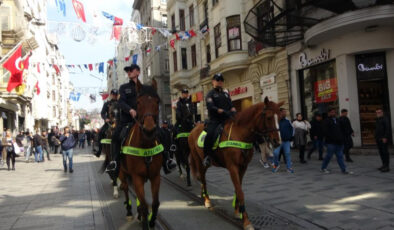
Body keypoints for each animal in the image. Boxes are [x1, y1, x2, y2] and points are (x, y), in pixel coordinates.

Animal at [119, 79, 164, 230]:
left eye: (157, 101)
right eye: (138, 102)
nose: (149, 130)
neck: (146, 146)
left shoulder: (155, 176)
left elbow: (155, 203)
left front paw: (152, 221)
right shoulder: (137, 176)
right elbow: (144, 206)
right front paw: (146, 223)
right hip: (122, 173)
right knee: (126, 189)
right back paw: (128, 212)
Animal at [189, 97, 284, 230]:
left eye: (280, 117)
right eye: (269, 117)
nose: (277, 142)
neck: (240, 134)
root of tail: (193, 130)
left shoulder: (243, 167)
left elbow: (237, 189)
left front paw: (237, 212)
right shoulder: (232, 167)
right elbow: (240, 192)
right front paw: (246, 221)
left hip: (206, 164)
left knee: (202, 179)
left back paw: (203, 196)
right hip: (199, 161)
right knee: (202, 179)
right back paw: (207, 200)